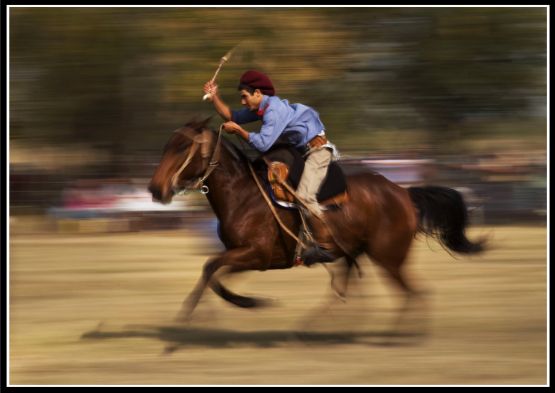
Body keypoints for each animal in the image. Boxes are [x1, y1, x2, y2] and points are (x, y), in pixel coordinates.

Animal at [148, 118, 486, 322]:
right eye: (165, 145)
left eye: (182, 146)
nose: (155, 188)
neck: (243, 194)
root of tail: (403, 193)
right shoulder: (243, 255)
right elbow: (214, 274)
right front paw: (245, 303)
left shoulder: (256, 254)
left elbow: (210, 268)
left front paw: (230, 306)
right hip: (354, 251)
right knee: (347, 287)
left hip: (388, 255)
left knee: (412, 292)